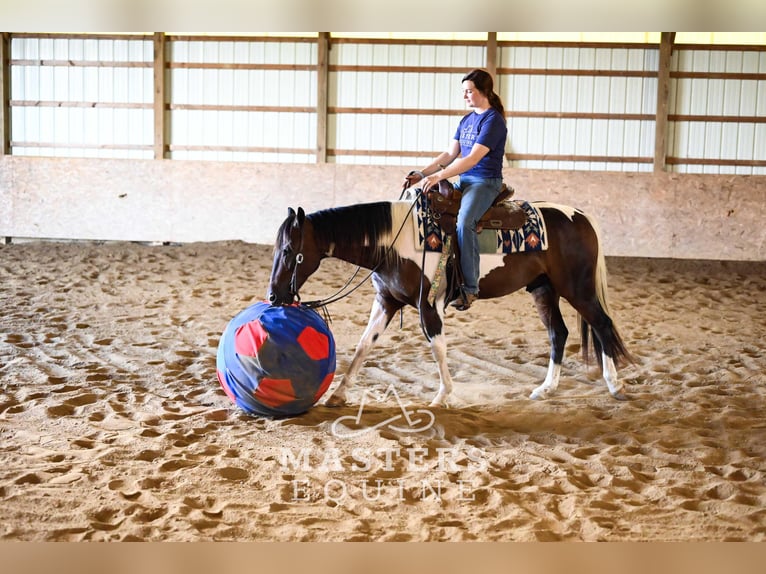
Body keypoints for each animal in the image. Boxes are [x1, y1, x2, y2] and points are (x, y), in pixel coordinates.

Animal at [267, 193, 633, 408]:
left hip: (577, 288)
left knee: (602, 325)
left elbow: (437, 346)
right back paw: (547, 389)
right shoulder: (386, 301)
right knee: (559, 333)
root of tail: (581, 215)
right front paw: (339, 393)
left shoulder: (429, 305)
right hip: (544, 289)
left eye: (288, 250)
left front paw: (443, 395)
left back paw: (615, 385)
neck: (394, 242)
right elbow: (363, 345)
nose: (274, 295)